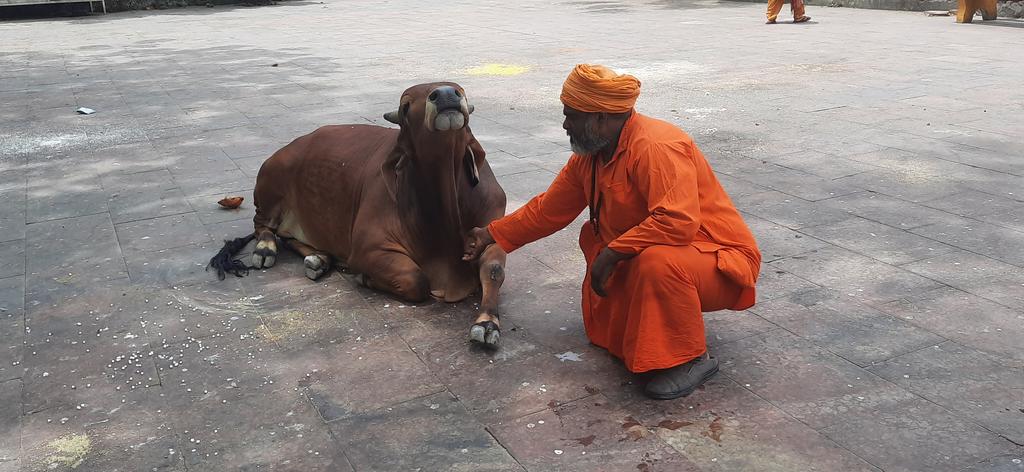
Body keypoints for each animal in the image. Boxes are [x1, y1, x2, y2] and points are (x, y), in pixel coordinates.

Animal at [210, 82, 507, 344]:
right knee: (263, 225)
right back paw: (266, 249)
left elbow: (493, 270)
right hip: (271, 182)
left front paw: (487, 324)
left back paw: (319, 259)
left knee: (289, 237)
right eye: (405, 105)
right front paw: (365, 277)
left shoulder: (490, 228)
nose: (446, 94)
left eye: (460, 90)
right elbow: (415, 279)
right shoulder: (367, 248)